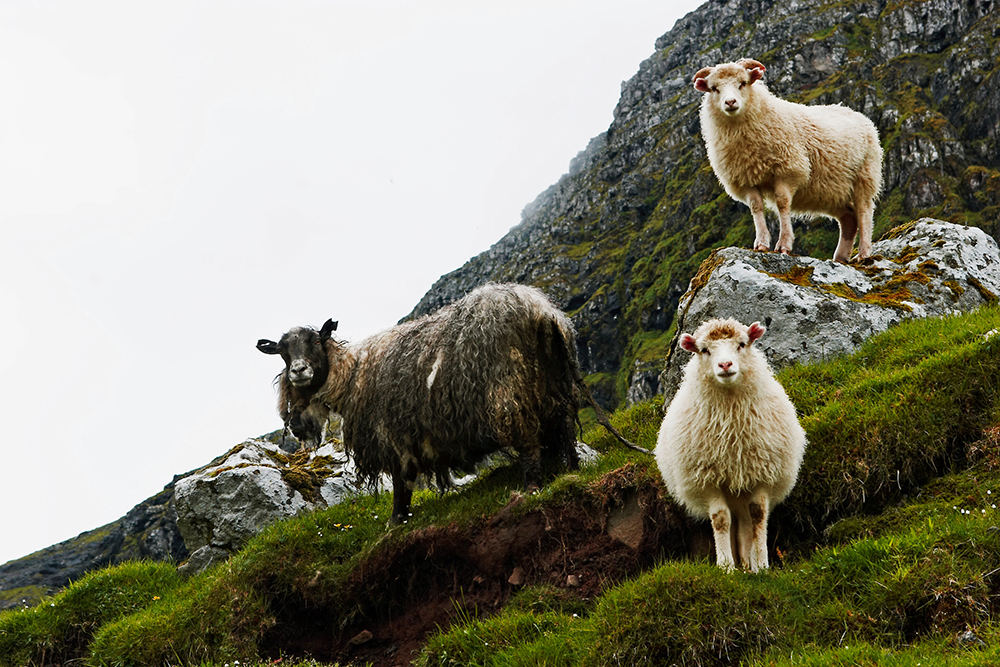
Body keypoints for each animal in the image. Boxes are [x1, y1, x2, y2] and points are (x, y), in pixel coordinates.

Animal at [258, 284, 632, 524]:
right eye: (282, 352)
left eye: (315, 342)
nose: (298, 371)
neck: (353, 373)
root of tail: (542, 312)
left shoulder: (394, 435)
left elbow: (402, 480)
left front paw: (396, 520)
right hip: (557, 388)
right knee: (565, 429)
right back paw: (571, 469)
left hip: (508, 392)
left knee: (528, 441)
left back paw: (532, 487)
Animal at [652, 320, 808, 572]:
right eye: (704, 350)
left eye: (742, 344)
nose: (725, 364)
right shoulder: (707, 479)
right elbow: (721, 519)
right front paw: (726, 567)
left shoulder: (762, 474)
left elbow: (758, 516)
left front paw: (762, 565)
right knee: (734, 521)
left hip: (743, 489)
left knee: (746, 522)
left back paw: (749, 564)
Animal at [696, 58, 884, 264]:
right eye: (714, 88)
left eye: (743, 83)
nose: (730, 102)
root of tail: (856, 113)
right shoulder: (745, 179)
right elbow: (756, 207)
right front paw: (761, 244)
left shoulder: (787, 170)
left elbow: (782, 204)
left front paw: (784, 245)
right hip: (831, 191)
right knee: (849, 218)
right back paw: (840, 258)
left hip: (865, 176)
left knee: (864, 213)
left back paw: (864, 254)